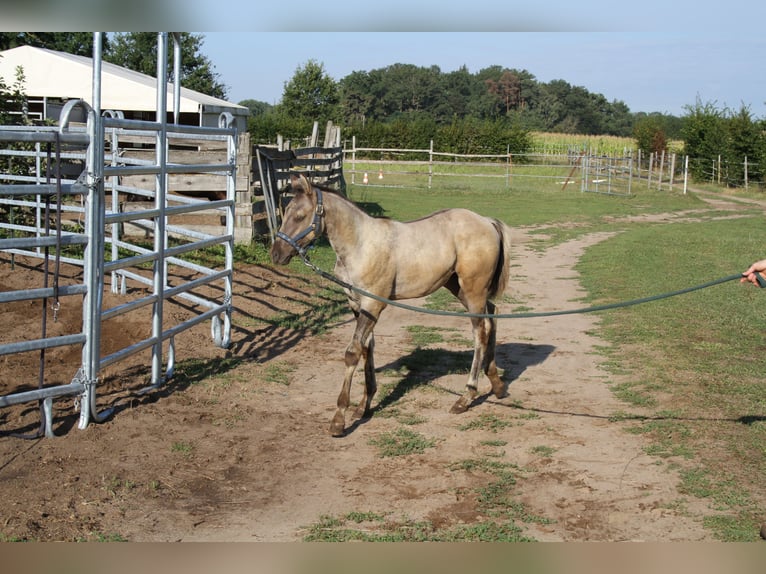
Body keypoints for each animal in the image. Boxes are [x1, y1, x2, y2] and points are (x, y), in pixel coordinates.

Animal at [272, 174, 512, 436]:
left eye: (299, 216)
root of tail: (487, 221)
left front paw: (339, 419)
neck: (361, 245)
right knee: (492, 316)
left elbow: (352, 352)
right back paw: (497, 384)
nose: (276, 254)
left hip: (472, 289)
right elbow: (367, 348)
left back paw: (466, 397)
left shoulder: (373, 303)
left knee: (480, 333)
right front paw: (364, 406)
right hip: (459, 288)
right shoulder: (356, 304)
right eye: (285, 213)